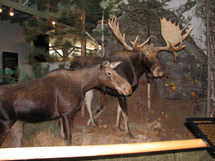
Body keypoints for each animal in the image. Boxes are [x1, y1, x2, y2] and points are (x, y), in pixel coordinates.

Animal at [0, 60, 132, 146]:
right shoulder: (67, 113)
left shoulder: (64, 115)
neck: (82, 86)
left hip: (17, 124)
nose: (128, 88)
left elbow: (64, 137)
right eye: (109, 73)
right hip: (6, 123)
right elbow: (69, 140)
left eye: (115, 72)